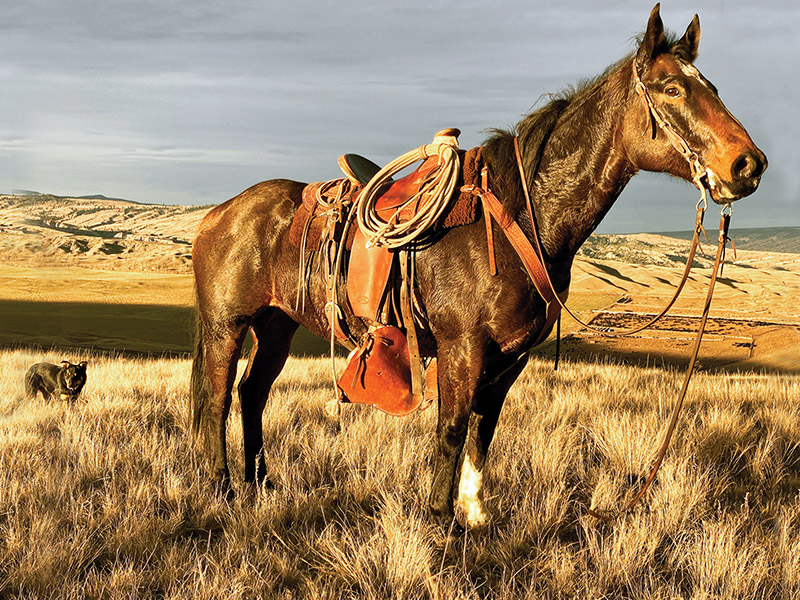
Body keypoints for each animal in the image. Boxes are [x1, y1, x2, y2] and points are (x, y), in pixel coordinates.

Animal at [190, 4, 766, 530]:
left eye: (711, 86)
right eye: (671, 89)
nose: (749, 165)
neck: (524, 217)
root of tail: (220, 213)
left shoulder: (510, 358)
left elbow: (483, 431)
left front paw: (474, 515)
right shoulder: (462, 348)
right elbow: (451, 428)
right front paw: (438, 521)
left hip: (277, 326)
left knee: (252, 394)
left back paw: (261, 485)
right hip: (226, 327)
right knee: (217, 399)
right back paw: (222, 489)